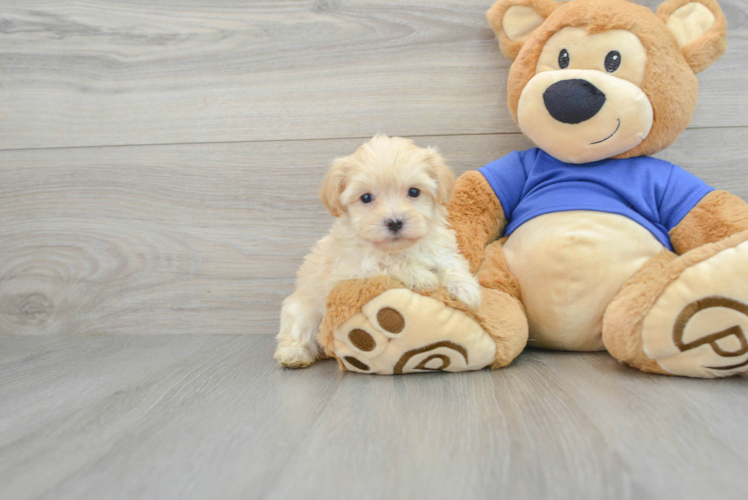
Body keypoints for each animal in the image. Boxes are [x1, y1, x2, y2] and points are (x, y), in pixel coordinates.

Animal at [274, 135, 480, 370]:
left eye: (414, 192)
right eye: (366, 198)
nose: (395, 222)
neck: (399, 247)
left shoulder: (438, 247)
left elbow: (451, 263)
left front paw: (466, 289)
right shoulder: (352, 271)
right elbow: (387, 262)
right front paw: (421, 276)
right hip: (302, 310)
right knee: (297, 331)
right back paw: (294, 355)